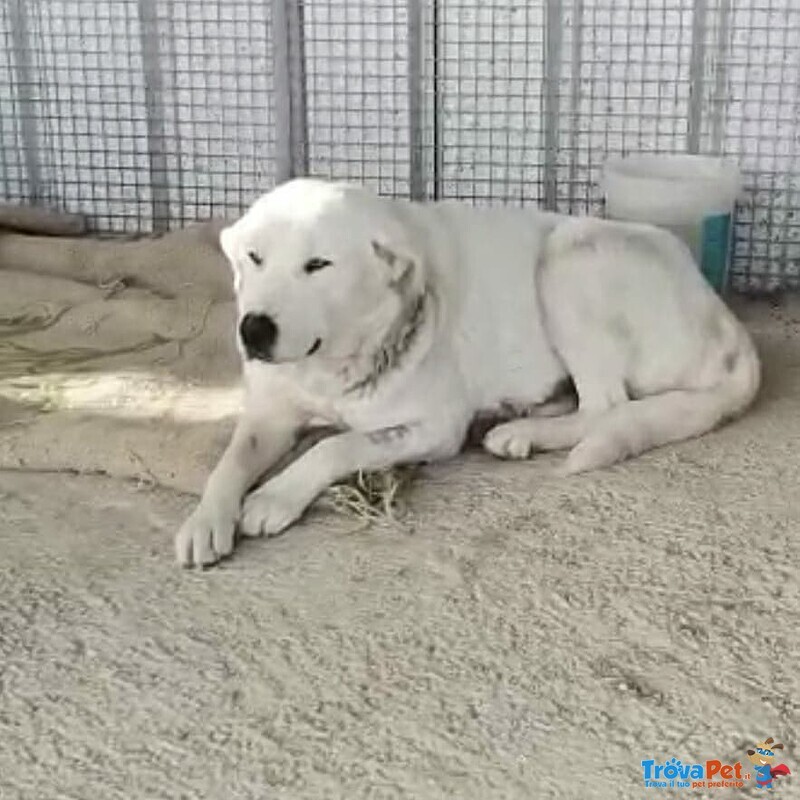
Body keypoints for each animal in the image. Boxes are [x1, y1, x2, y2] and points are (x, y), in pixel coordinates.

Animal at [173, 178, 756, 564]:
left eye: (317, 265)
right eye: (254, 258)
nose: (253, 329)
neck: (335, 362)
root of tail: (732, 331)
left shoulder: (435, 428)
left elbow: (336, 445)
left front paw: (274, 496)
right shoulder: (269, 413)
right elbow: (231, 459)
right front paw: (206, 517)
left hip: (568, 255)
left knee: (606, 408)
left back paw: (522, 431)